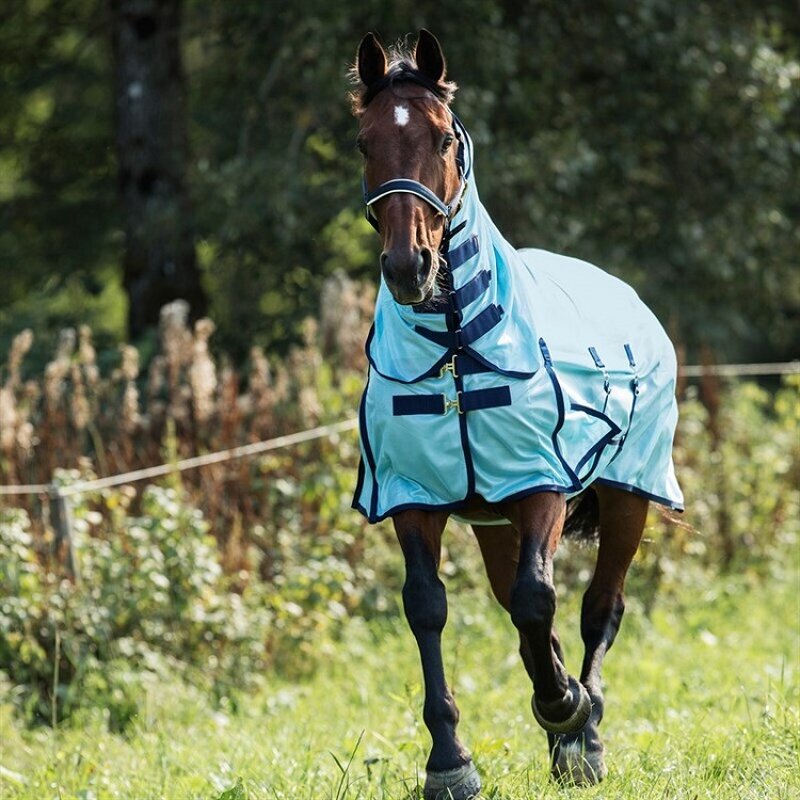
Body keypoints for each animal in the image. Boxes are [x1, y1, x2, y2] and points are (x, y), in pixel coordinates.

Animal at [349, 29, 683, 799]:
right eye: (364, 141)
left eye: (442, 137)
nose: (408, 267)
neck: (455, 346)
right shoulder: (416, 496)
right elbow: (430, 606)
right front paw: (450, 761)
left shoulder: (539, 487)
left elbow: (541, 599)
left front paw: (567, 710)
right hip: (494, 522)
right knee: (529, 611)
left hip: (628, 498)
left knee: (596, 608)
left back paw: (583, 735)